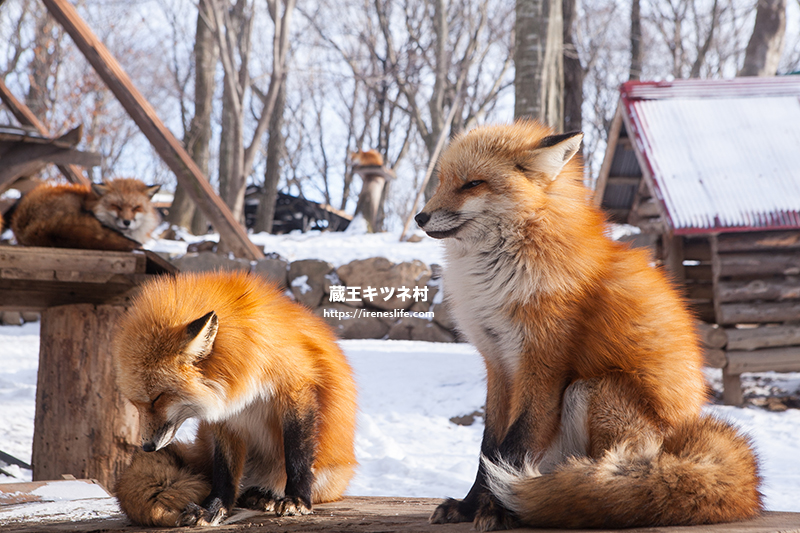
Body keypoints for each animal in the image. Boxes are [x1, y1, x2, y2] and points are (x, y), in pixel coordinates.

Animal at [113, 272, 360, 524]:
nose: (147, 447)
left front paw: (297, 500)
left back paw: (267, 494)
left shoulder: (296, 386)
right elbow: (225, 471)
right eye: (136, 404)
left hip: (327, 476)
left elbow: (296, 453)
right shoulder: (225, 410)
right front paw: (213, 508)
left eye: (157, 398)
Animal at [416, 121, 760, 532]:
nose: (419, 218)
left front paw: (495, 510)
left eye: (472, 184)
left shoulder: (542, 363)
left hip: (592, 390)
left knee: (603, 485)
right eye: (442, 181)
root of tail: (679, 445)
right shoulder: (497, 362)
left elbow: (512, 445)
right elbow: (488, 447)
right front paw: (470, 506)